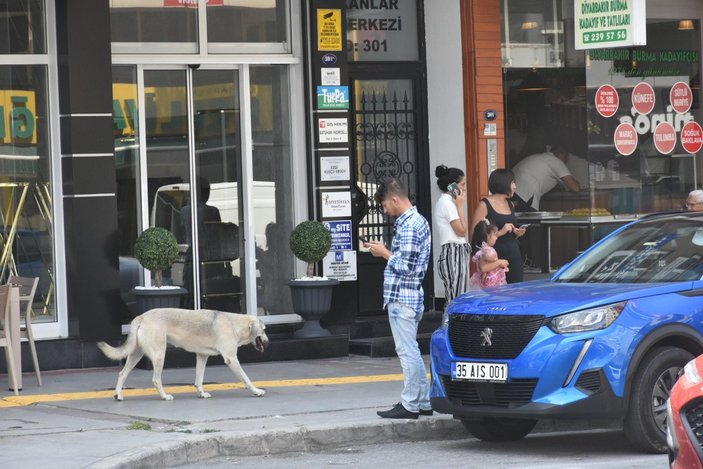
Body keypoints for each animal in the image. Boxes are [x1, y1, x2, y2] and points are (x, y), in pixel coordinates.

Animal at [96, 308, 266, 398]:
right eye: (264, 330)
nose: (268, 341)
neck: (234, 324)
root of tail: (142, 316)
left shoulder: (202, 357)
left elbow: (199, 379)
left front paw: (201, 393)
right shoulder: (231, 359)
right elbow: (246, 378)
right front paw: (256, 391)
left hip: (136, 355)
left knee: (122, 373)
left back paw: (118, 395)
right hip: (159, 355)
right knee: (156, 379)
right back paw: (164, 396)